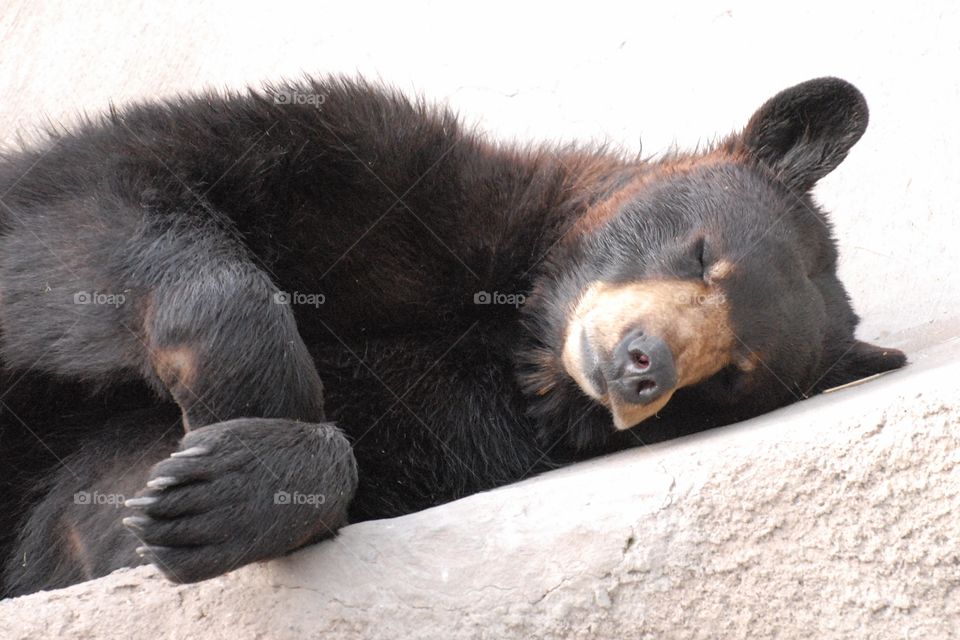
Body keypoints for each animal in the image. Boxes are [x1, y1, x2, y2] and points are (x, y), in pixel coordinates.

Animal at [0, 76, 906, 597]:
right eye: (702, 253)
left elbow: (106, 507)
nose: (639, 366)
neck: (518, 328)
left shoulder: (467, 432)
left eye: (732, 372)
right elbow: (105, 187)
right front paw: (247, 388)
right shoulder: (377, 170)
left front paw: (215, 490)